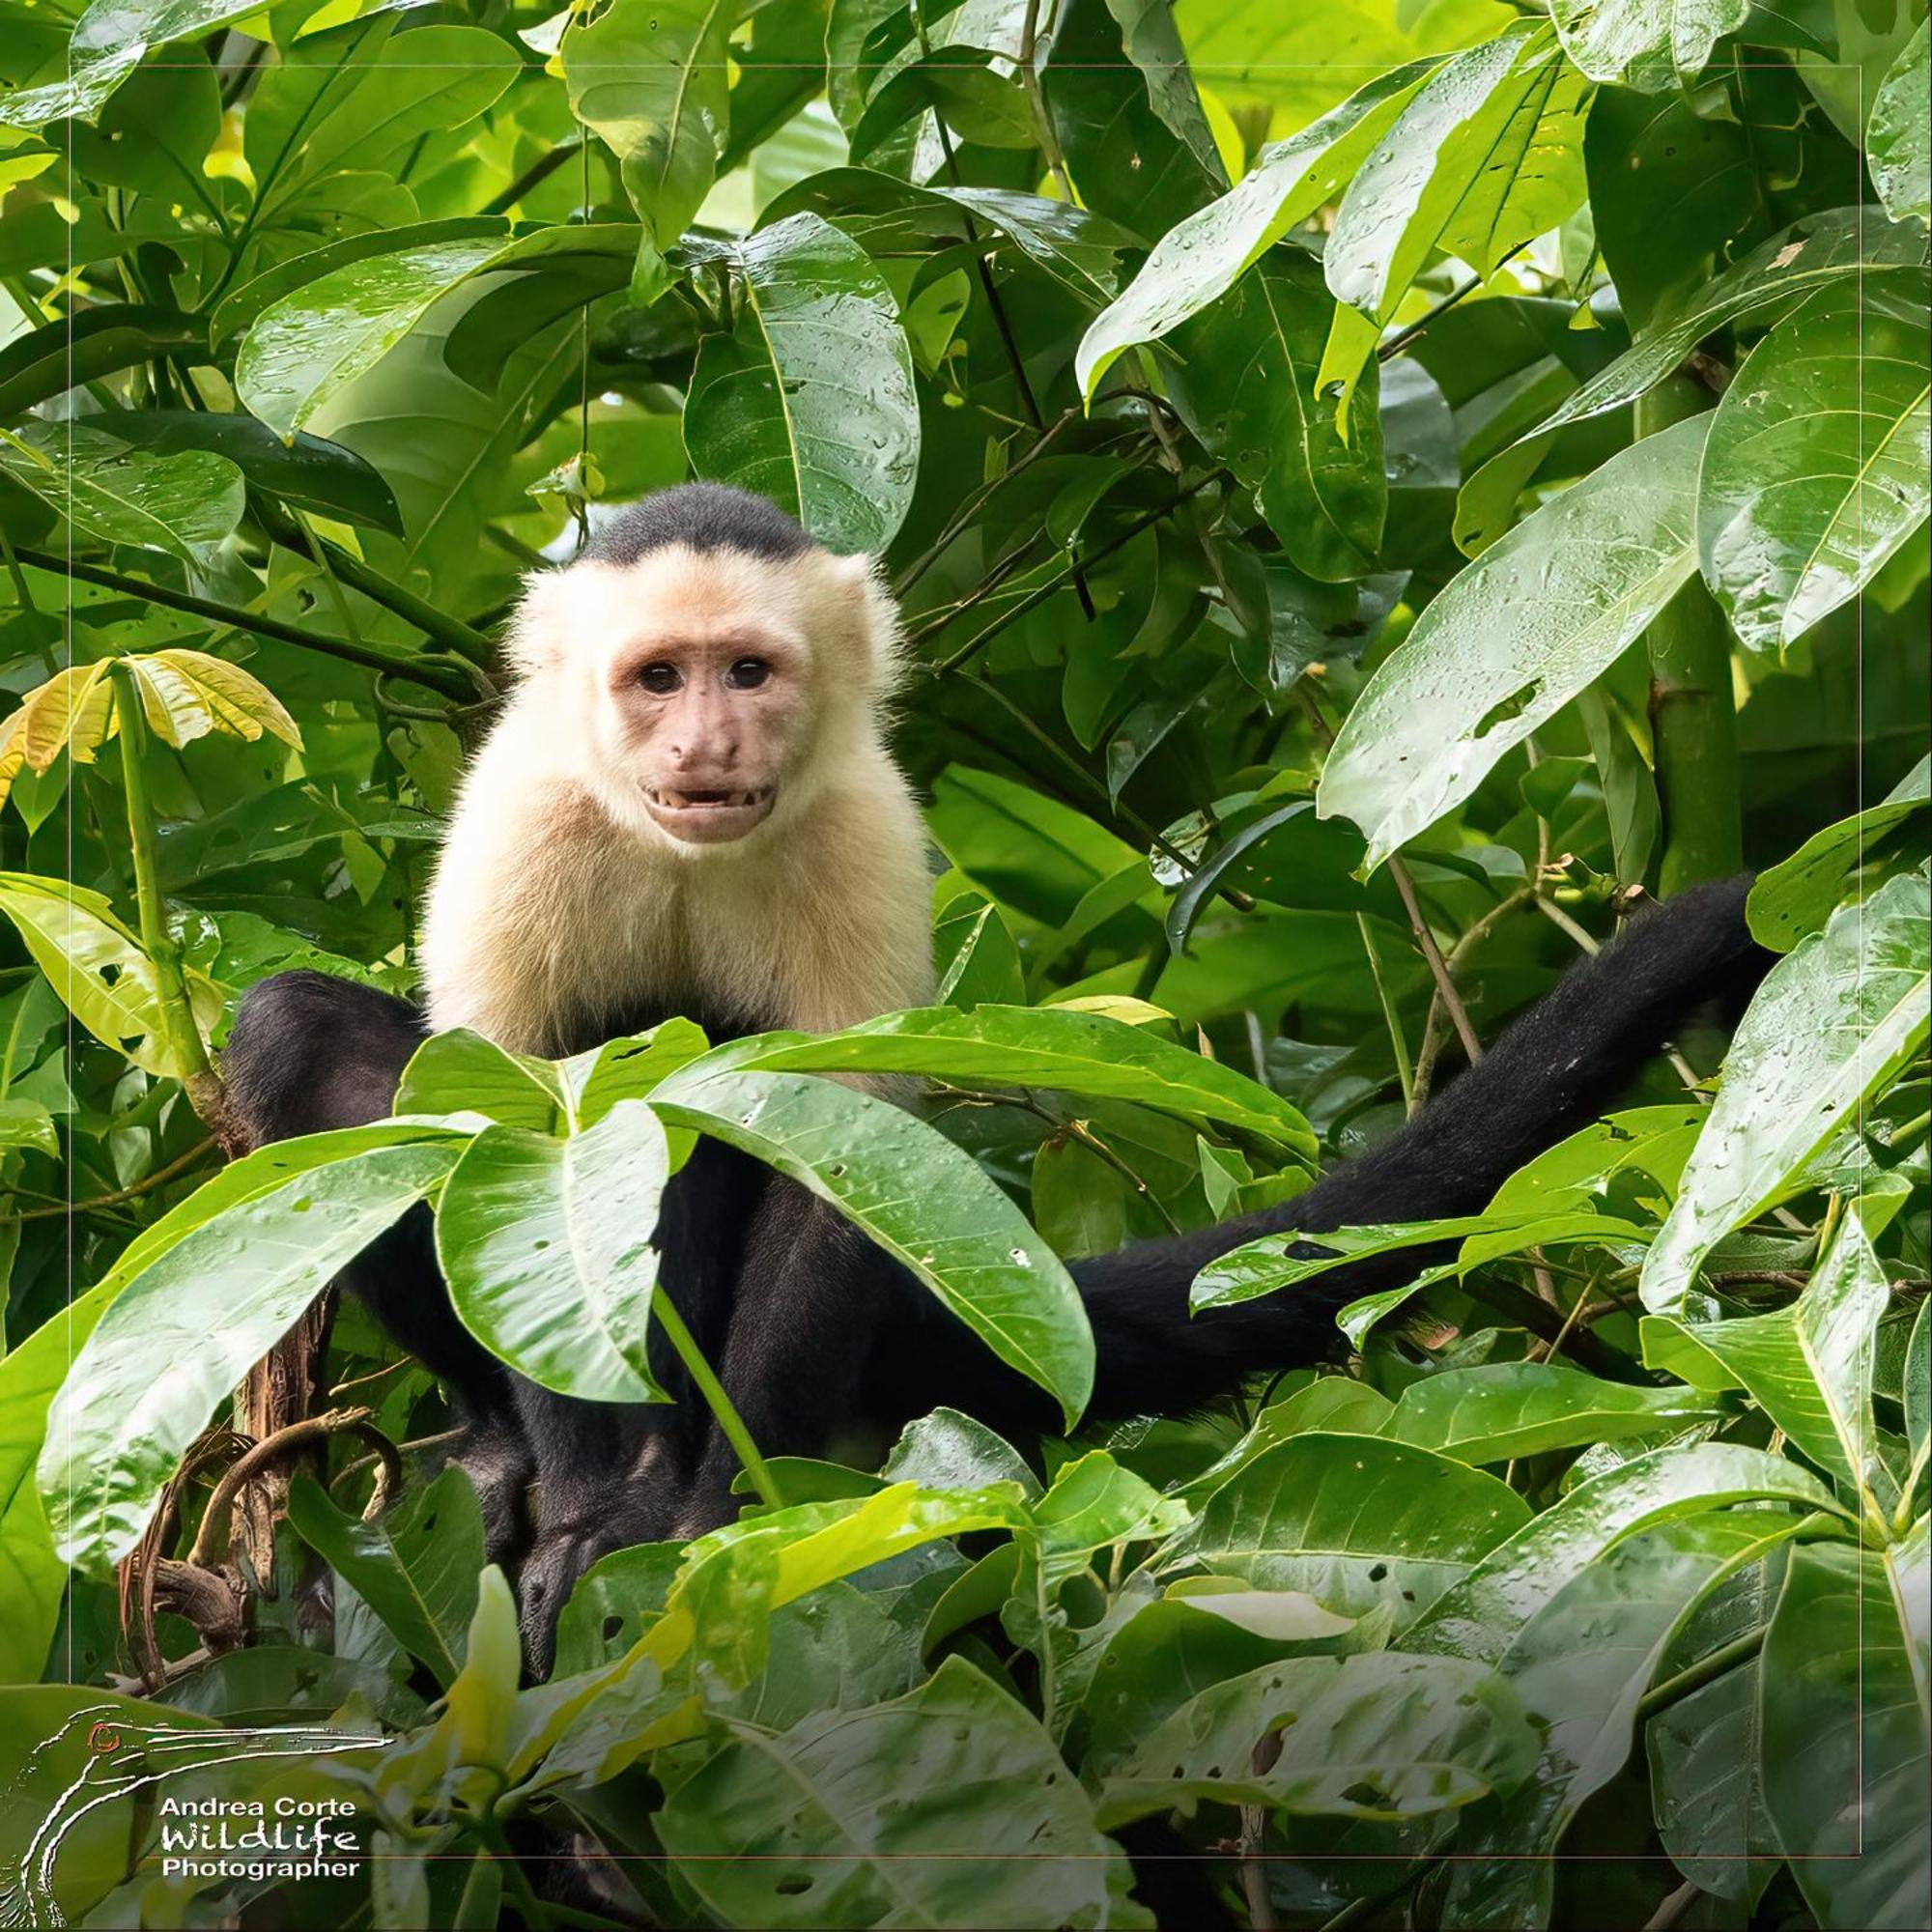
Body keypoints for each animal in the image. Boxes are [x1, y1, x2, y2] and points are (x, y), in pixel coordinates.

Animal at [222, 483, 1770, 1677]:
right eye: (658, 677)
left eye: (748, 674)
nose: (707, 743)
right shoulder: (528, 815)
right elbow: (524, 1138)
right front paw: (587, 1509)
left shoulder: (863, 828)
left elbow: (834, 1149)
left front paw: (704, 1520)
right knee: (316, 1043)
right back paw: (503, 1453)